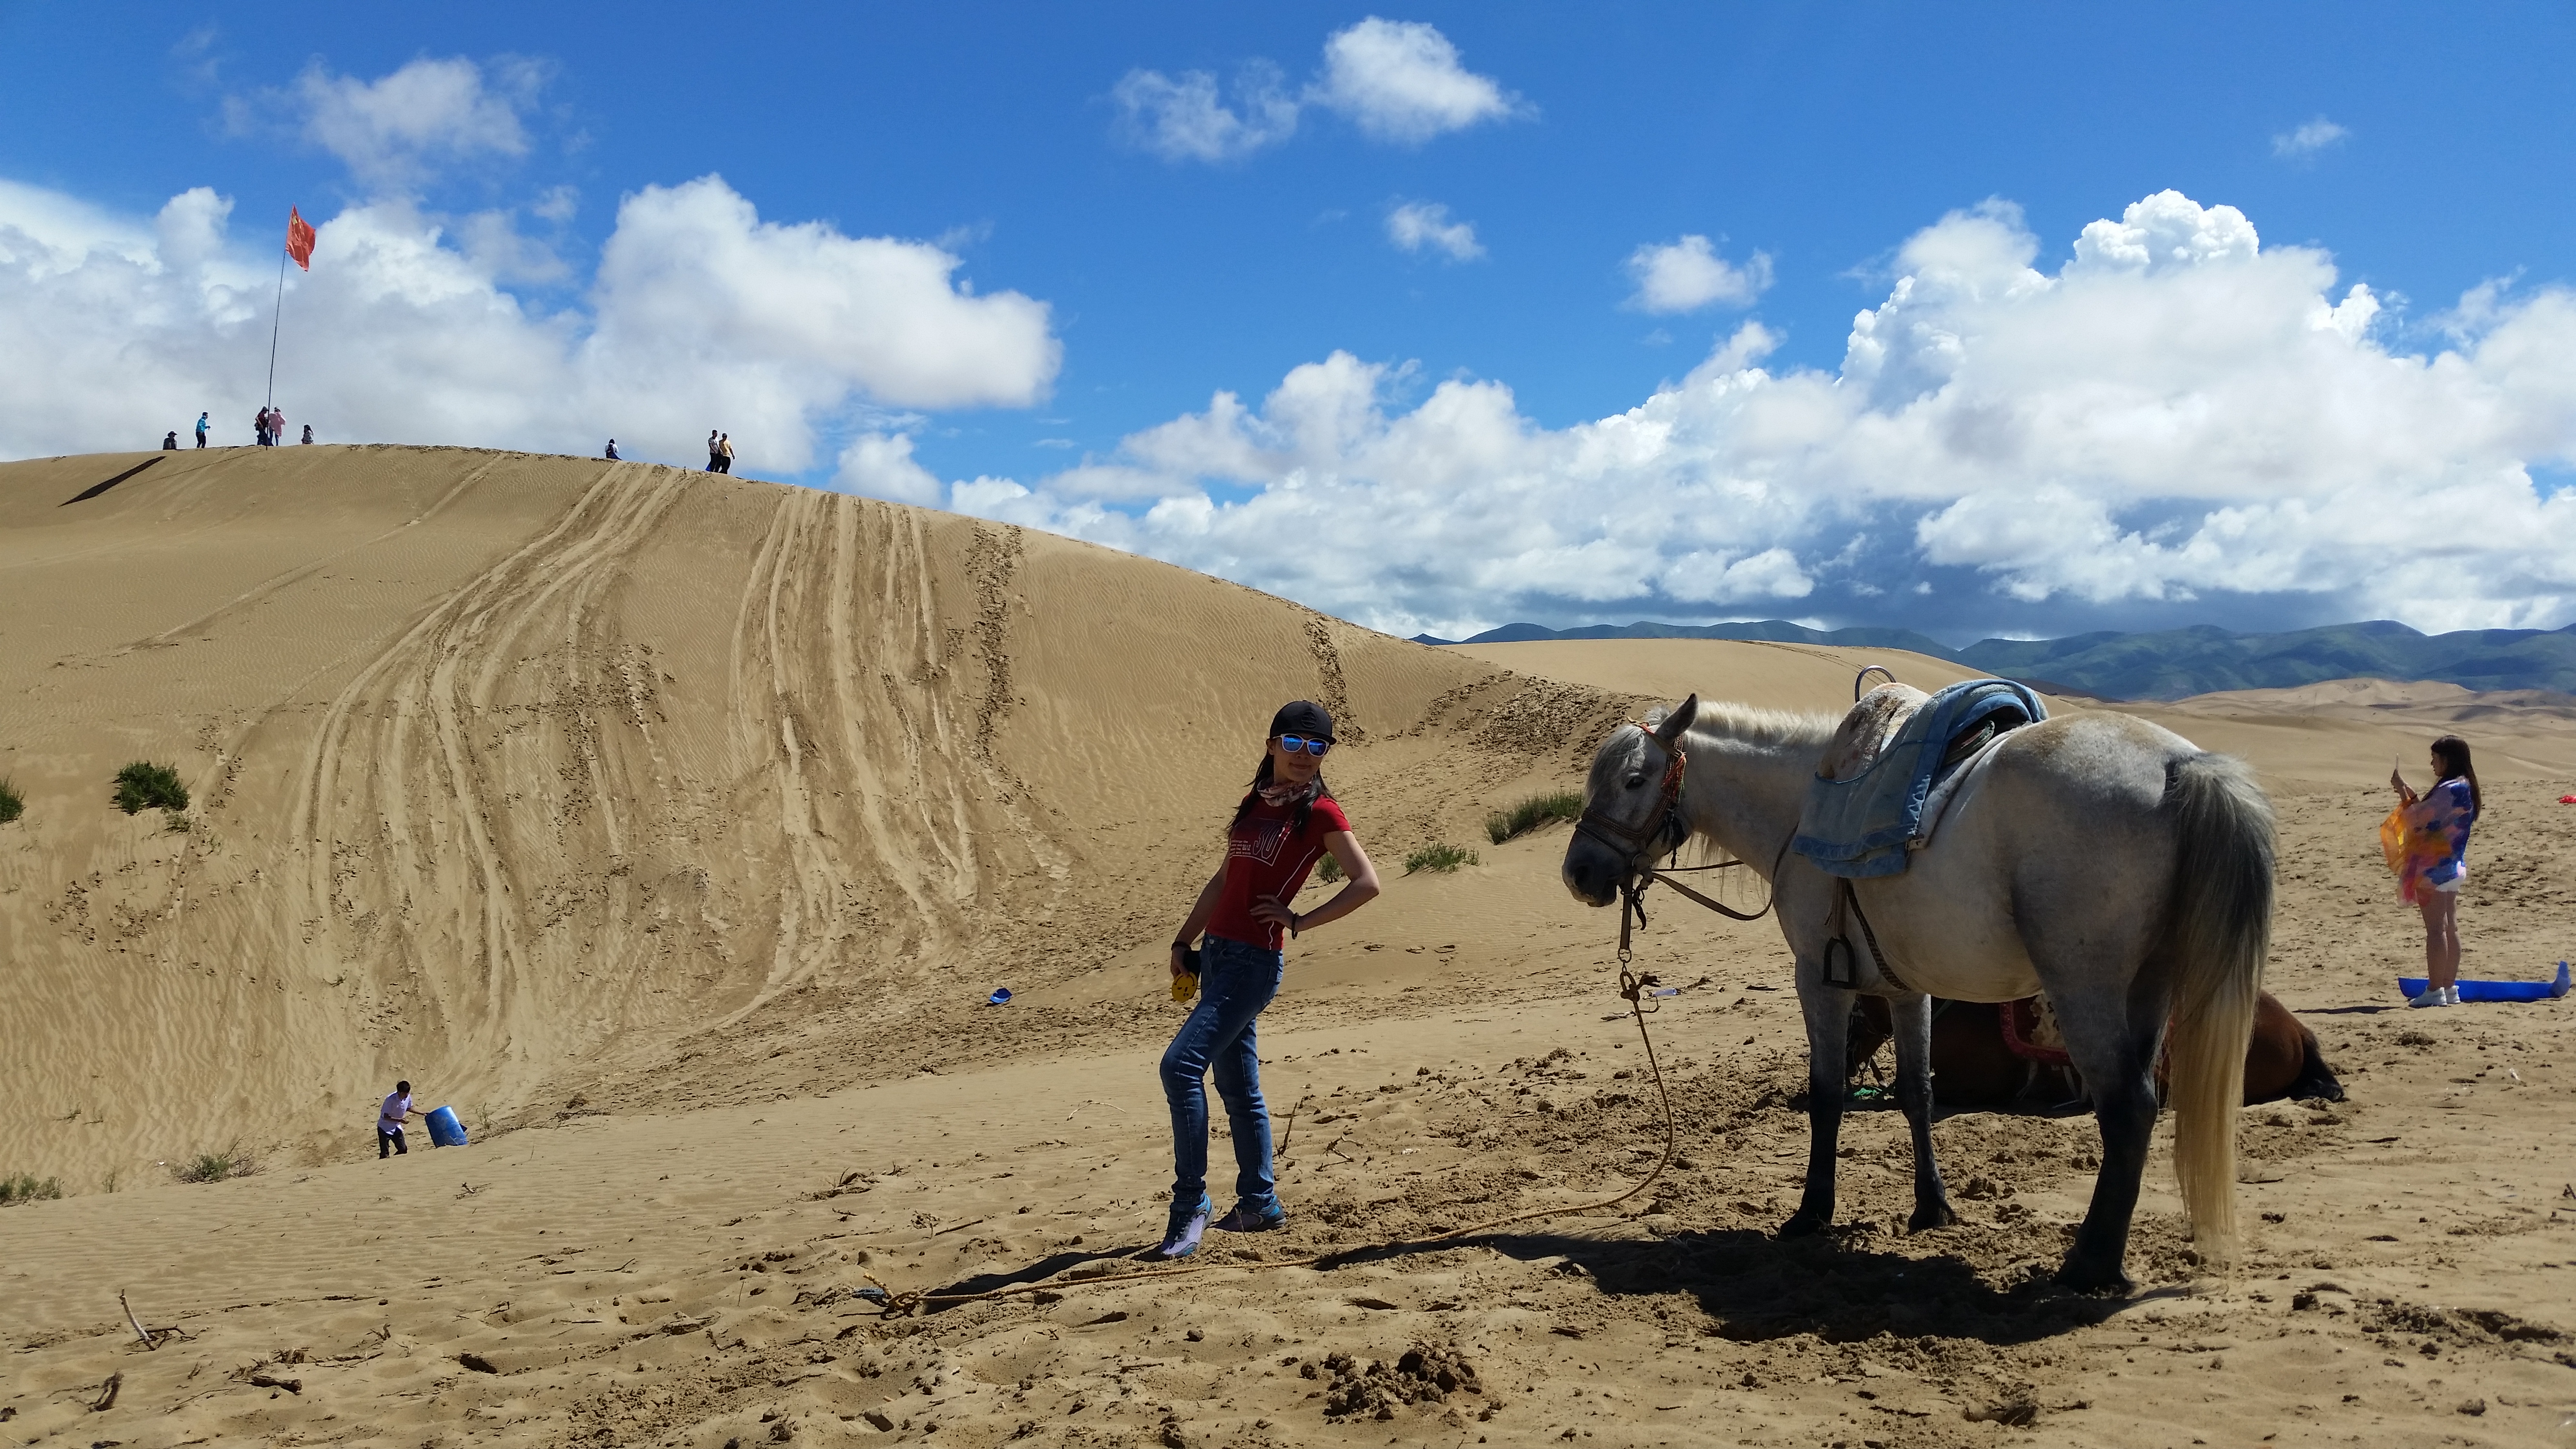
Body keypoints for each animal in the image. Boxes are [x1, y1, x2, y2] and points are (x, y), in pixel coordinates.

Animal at [1556, 686, 2267, 1284]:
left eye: (1635, 779)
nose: (1579, 874)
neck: (1802, 811)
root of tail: (2179, 766)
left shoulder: (1819, 980)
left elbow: (1827, 1096)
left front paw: (1812, 1212)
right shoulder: (1905, 988)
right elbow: (1916, 1094)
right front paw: (1933, 1207)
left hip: (2085, 991)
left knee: (2127, 1109)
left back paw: (2088, 1265)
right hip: (2149, 991)